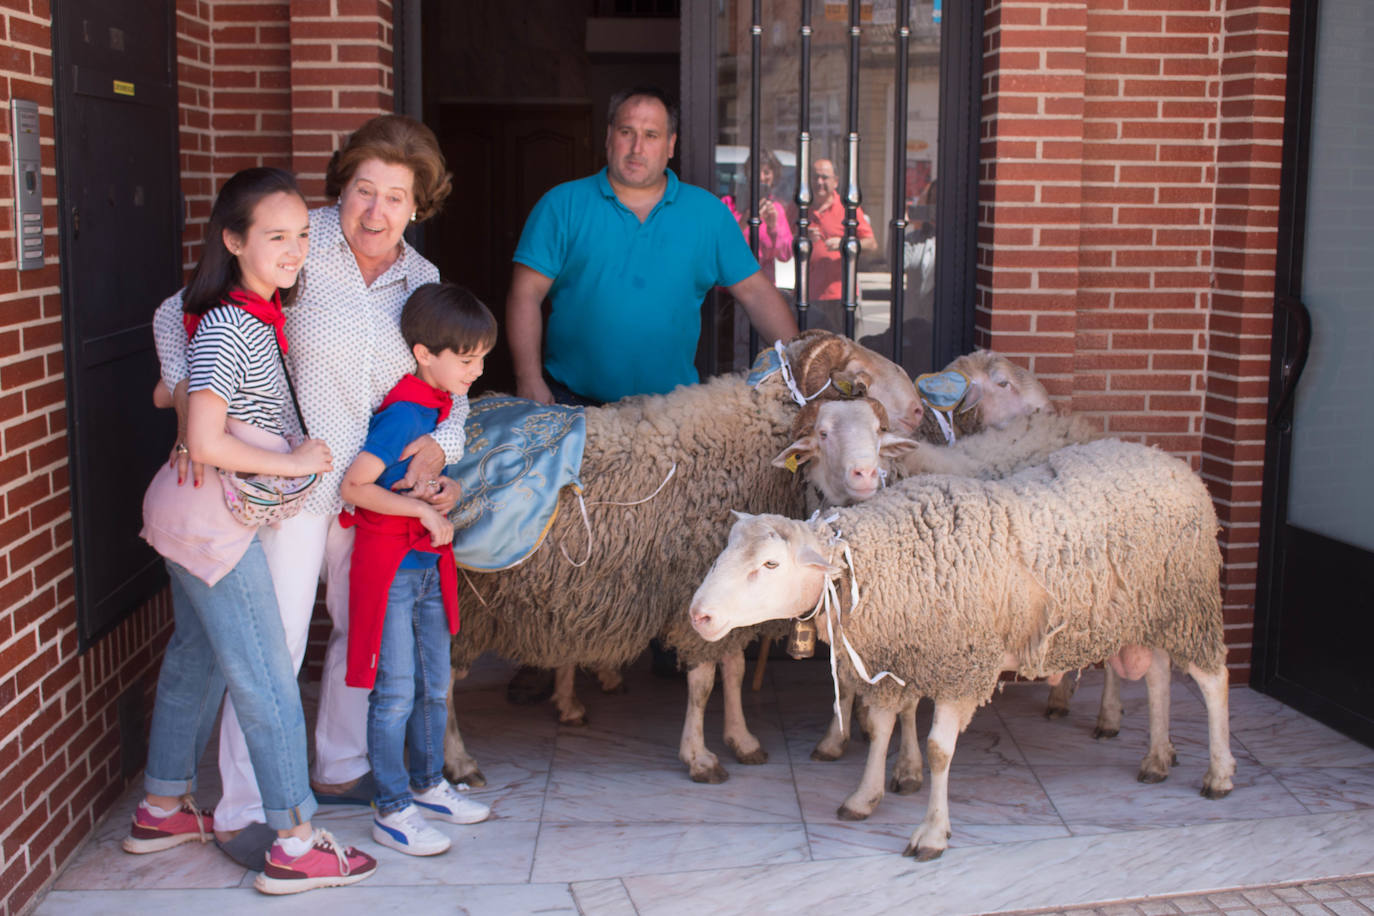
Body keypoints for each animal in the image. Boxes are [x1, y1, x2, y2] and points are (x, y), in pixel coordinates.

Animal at [442, 329, 923, 791]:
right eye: (858, 381)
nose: (920, 411)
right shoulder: (695, 590)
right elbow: (703, 681)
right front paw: (700, 757)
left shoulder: (730, 594)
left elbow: (733, 668)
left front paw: (742, 739)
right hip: (458, 600)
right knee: (439, 682)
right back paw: (459, 761)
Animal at [687, 436, 1236, 862]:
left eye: (771, 564)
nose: (699, 615)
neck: (888, 559)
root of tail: (1171, 462)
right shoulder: (897, 659)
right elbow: (882, 728)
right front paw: (864, 797)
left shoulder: (960, 665)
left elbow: (937, 751)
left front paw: (931, 832)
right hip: (1152, 611)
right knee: (1159, 675)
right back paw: (1157, 758)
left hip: (1190, 602)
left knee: (1213, 681)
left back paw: (1219, 773)